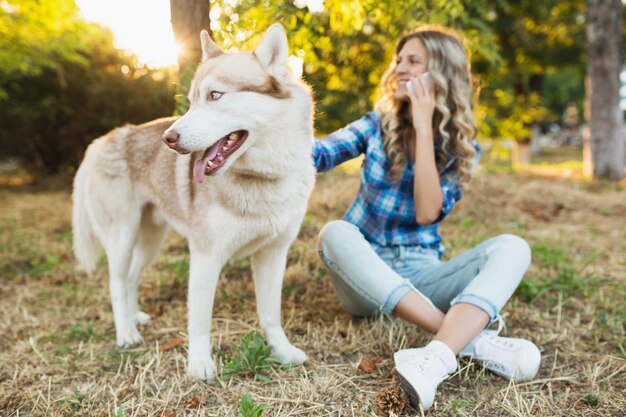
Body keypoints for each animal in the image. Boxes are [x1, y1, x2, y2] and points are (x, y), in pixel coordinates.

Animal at [72, 24, 314, 378]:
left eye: (215, 96)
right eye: (191, 102)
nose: (168, 139)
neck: (262, 177)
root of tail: (102, 140)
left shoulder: (274, 253)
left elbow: (271, 314)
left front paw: (282, 351)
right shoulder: (205, 257)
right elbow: (199, 320)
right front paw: (199, 364)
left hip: (151, 241)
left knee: (130, 278)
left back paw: (134, 317)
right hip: (122, 236)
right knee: (116, 283)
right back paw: (126, 332)